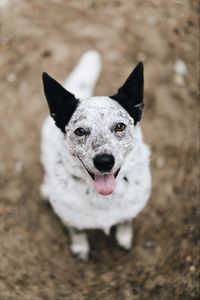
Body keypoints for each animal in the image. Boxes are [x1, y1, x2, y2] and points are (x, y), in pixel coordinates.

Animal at [41, 49, 152, 260]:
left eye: (120, 126)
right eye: (80, 131)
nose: (104, 161)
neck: (102, 197)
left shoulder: (132, 208)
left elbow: (126, 220)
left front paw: (124, 235)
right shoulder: (69, 216)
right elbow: (76, 230)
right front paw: (80, 247)